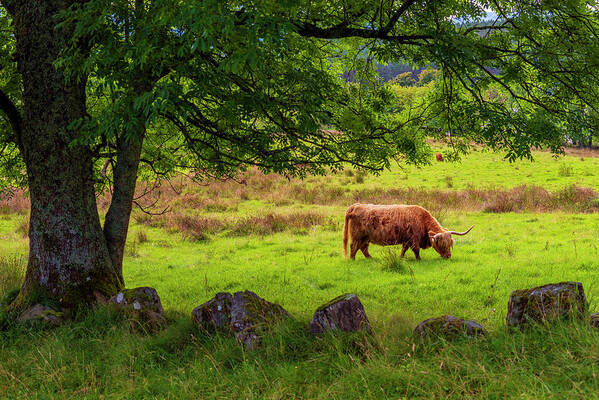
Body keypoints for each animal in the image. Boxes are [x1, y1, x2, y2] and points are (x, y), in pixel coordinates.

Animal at [342, 205, 474, 260]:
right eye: (441, 244)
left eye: (450, 244)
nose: (448, 256)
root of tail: (355, 206)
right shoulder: (413, 239)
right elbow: (416, 250)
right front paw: (419, 259)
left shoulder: (406, 240)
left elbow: (403, 249)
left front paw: (401, 258)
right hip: (357, 236)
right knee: (354, 247)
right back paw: (352, 259)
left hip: (365, 237)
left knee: (363, 248)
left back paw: (371, 258)